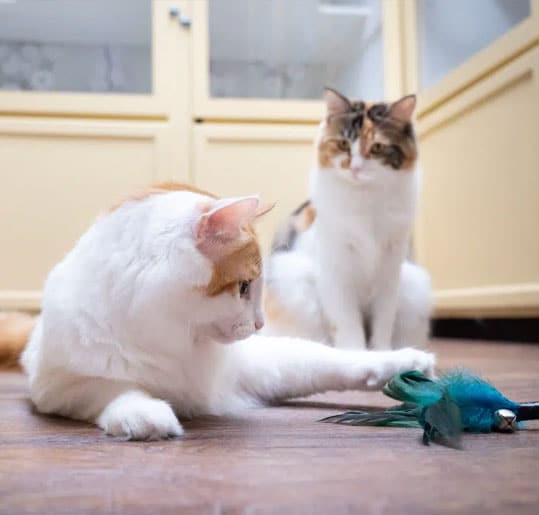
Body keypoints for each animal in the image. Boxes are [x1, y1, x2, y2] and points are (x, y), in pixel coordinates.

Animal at [0, 183, 434, 442]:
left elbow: (331, 361)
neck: (176, 340)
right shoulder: (59, 386)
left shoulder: (254, 367)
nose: (259, 323)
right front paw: (147, 416)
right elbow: (113, 389)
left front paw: (406, 364)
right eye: (243, 287)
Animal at [266, 88, 434, 352]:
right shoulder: (336, 271)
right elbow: (347, 323)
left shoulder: (389, 272)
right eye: (343, 144)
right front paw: (356, 354)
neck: (365, 201)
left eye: (377, 147)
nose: (354, 168)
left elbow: (383, 323)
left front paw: (382, 353)